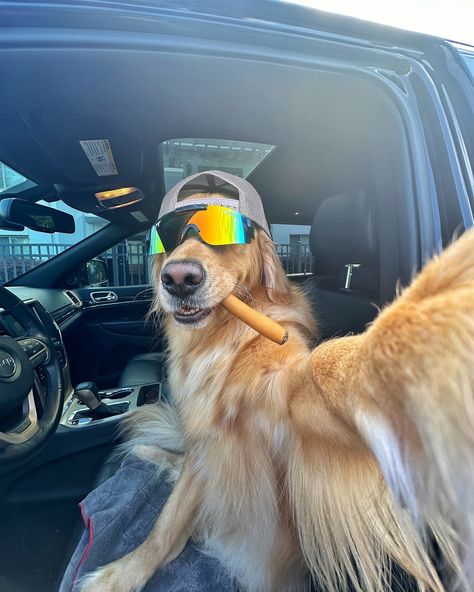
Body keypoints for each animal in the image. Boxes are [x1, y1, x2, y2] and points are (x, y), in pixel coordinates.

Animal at [81, 193, 474, 592]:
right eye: (168, 233)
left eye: (226, 229)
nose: (179, 278)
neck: (223, 338)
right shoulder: (206, 441)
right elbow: (165, 524)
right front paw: (119, 575)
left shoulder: (288, 404)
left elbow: (325, 361)